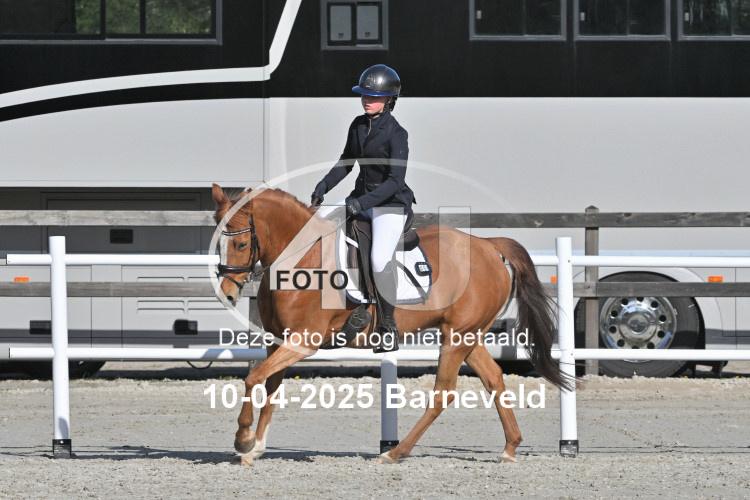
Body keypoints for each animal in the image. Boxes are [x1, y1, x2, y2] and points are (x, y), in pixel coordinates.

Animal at [211, 183, 572, 465]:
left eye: (241, 244)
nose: (227, 293)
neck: (302, 259)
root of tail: (488, 245)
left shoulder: (303, 341)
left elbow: (253, 377)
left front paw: (242, 439)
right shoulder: (278, 340)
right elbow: (269, 385)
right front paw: (255, 447)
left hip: (455, 336)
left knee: (443, 393)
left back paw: (395, 453)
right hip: (470, 335)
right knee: (494, 379)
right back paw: (510, 447)